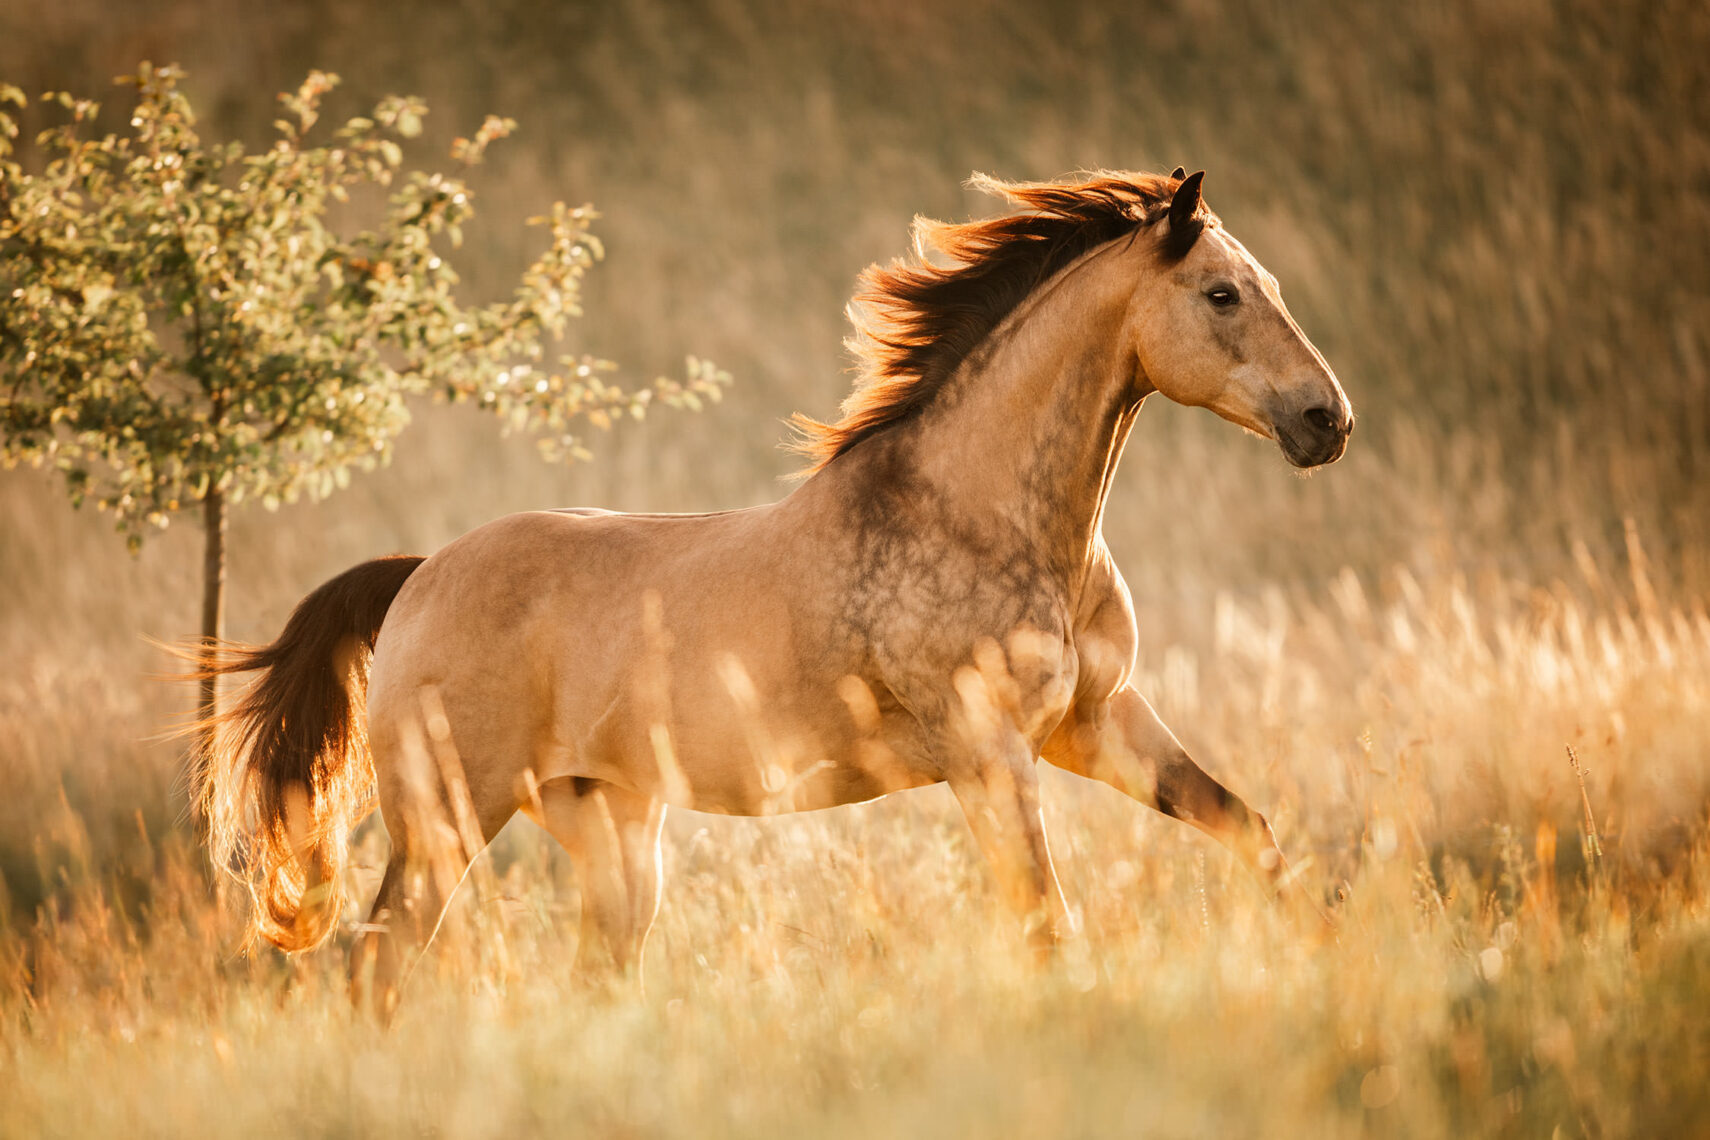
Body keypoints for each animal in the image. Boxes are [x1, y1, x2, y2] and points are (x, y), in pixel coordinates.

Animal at [194, 168, 1353, 1015]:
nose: (1327, 421)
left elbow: (1249, 830)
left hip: (609, 827)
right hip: (448, 815)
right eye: (1220, 295)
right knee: (381, 958)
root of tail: (419, 576)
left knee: (590, 972)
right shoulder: (990, 754)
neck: (983, 517)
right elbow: (1047, 924)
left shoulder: (1094, 723)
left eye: (1272, 285)